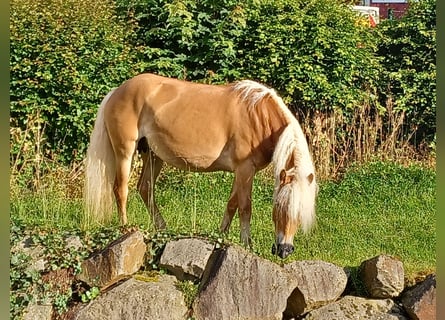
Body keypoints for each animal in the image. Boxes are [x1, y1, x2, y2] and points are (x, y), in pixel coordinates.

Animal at [83, 72, 318, 258]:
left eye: (300, 212)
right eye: (280, 207)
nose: (284, 250)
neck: (259, 116)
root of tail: (117, 91)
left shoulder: (240, 172)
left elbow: (231, 204)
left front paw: (220, 236)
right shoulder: (245, 169)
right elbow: (245, 207)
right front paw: (247, 245)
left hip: (153, 156)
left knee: (145, 189)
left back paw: (162, 229)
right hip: (125, 151)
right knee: (121, 189)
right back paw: (125, 228)